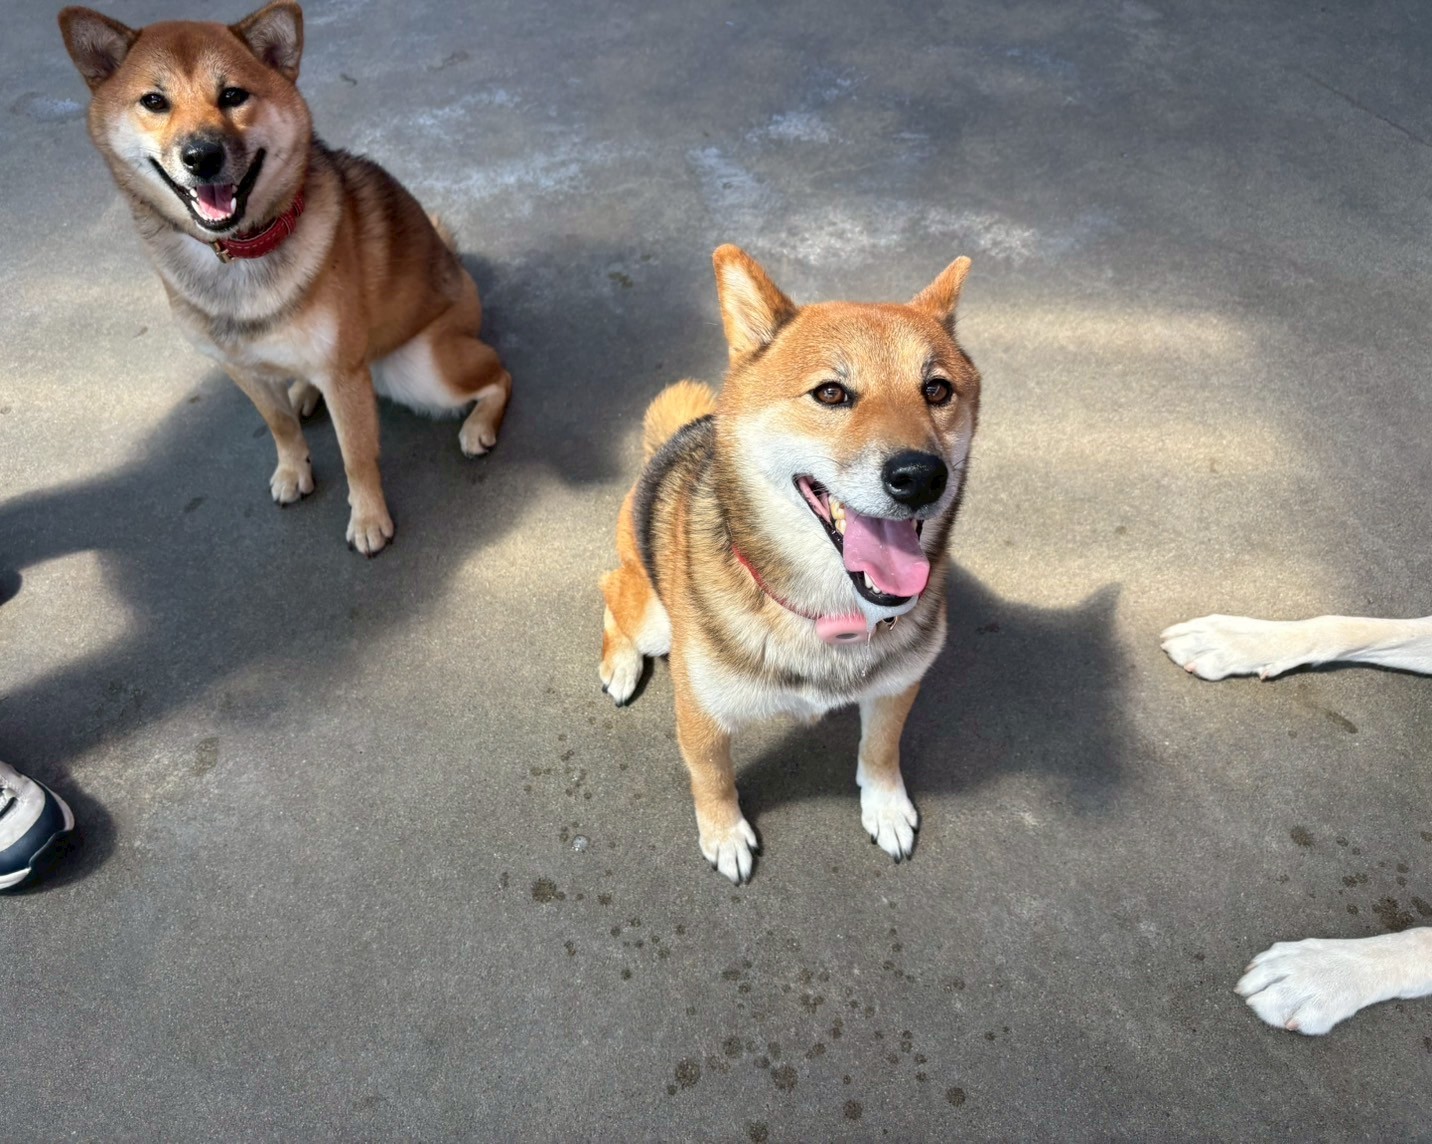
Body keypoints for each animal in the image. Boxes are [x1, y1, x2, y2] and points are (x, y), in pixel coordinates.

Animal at [59, 2, 512, 555]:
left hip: (422, 367)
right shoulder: (240, 369)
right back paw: (302, 392)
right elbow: (279, 426)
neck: (238, 253)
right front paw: (294, 469)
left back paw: (479, 425)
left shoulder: (343, 375)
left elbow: (357, 455)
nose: (202, 155)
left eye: (233, 95)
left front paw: (368, 519)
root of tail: (457, 268)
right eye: (154, 101)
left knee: (499, 376)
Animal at [599, 245, 979, 883]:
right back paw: (621, 663)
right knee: (611, 589)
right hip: (654, 618)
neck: (829, 614)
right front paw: (724, 834)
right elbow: (712, 779)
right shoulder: (701, 714)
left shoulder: (898, 684)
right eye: (830, 394)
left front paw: (885, 807)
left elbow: (881, 750)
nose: (920, 476)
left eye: (936, 389)